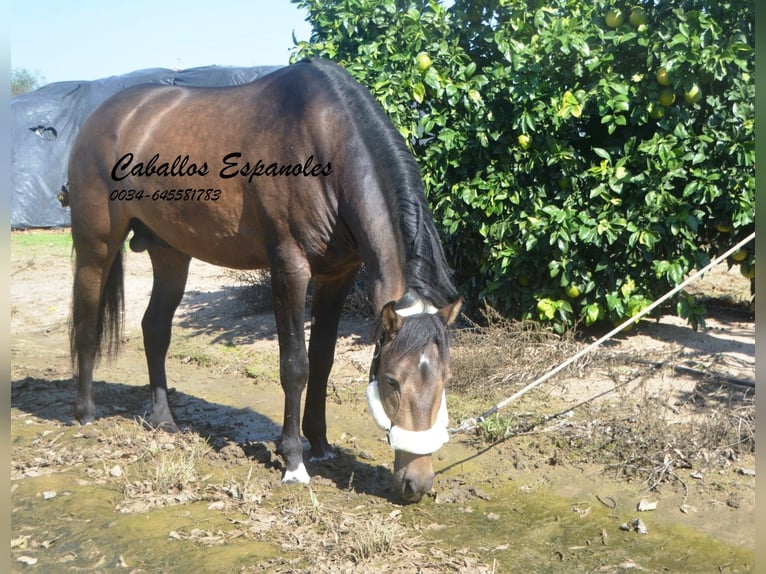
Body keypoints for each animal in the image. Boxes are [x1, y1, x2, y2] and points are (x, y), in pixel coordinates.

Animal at [67, 58, 462, 504]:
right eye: (392, 380)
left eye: (445, 379)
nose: (418, 483)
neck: (326, 141)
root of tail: (103, 116)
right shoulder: (289, 268)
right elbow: (295, 365)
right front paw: (293, 461)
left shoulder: (337, 275)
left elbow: (322, 360)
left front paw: (320, 444)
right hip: (96, 246)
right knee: (87, 324)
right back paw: (85, 412)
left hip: (170, 253)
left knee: (155, 329)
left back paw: (164, 419)